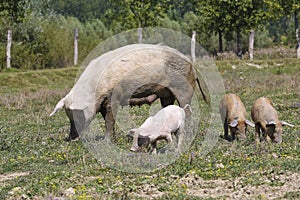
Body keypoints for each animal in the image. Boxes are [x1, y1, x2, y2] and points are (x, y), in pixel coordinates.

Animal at [49, 43, 209, 141]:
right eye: (68, 116)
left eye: (78, 115)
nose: (71, 138)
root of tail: (191, 64)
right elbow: (106, 118)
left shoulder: (113, 97)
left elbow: (109, 119)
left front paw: (106, 140)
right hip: (166, 94)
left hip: (184, 89)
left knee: (186, 110)